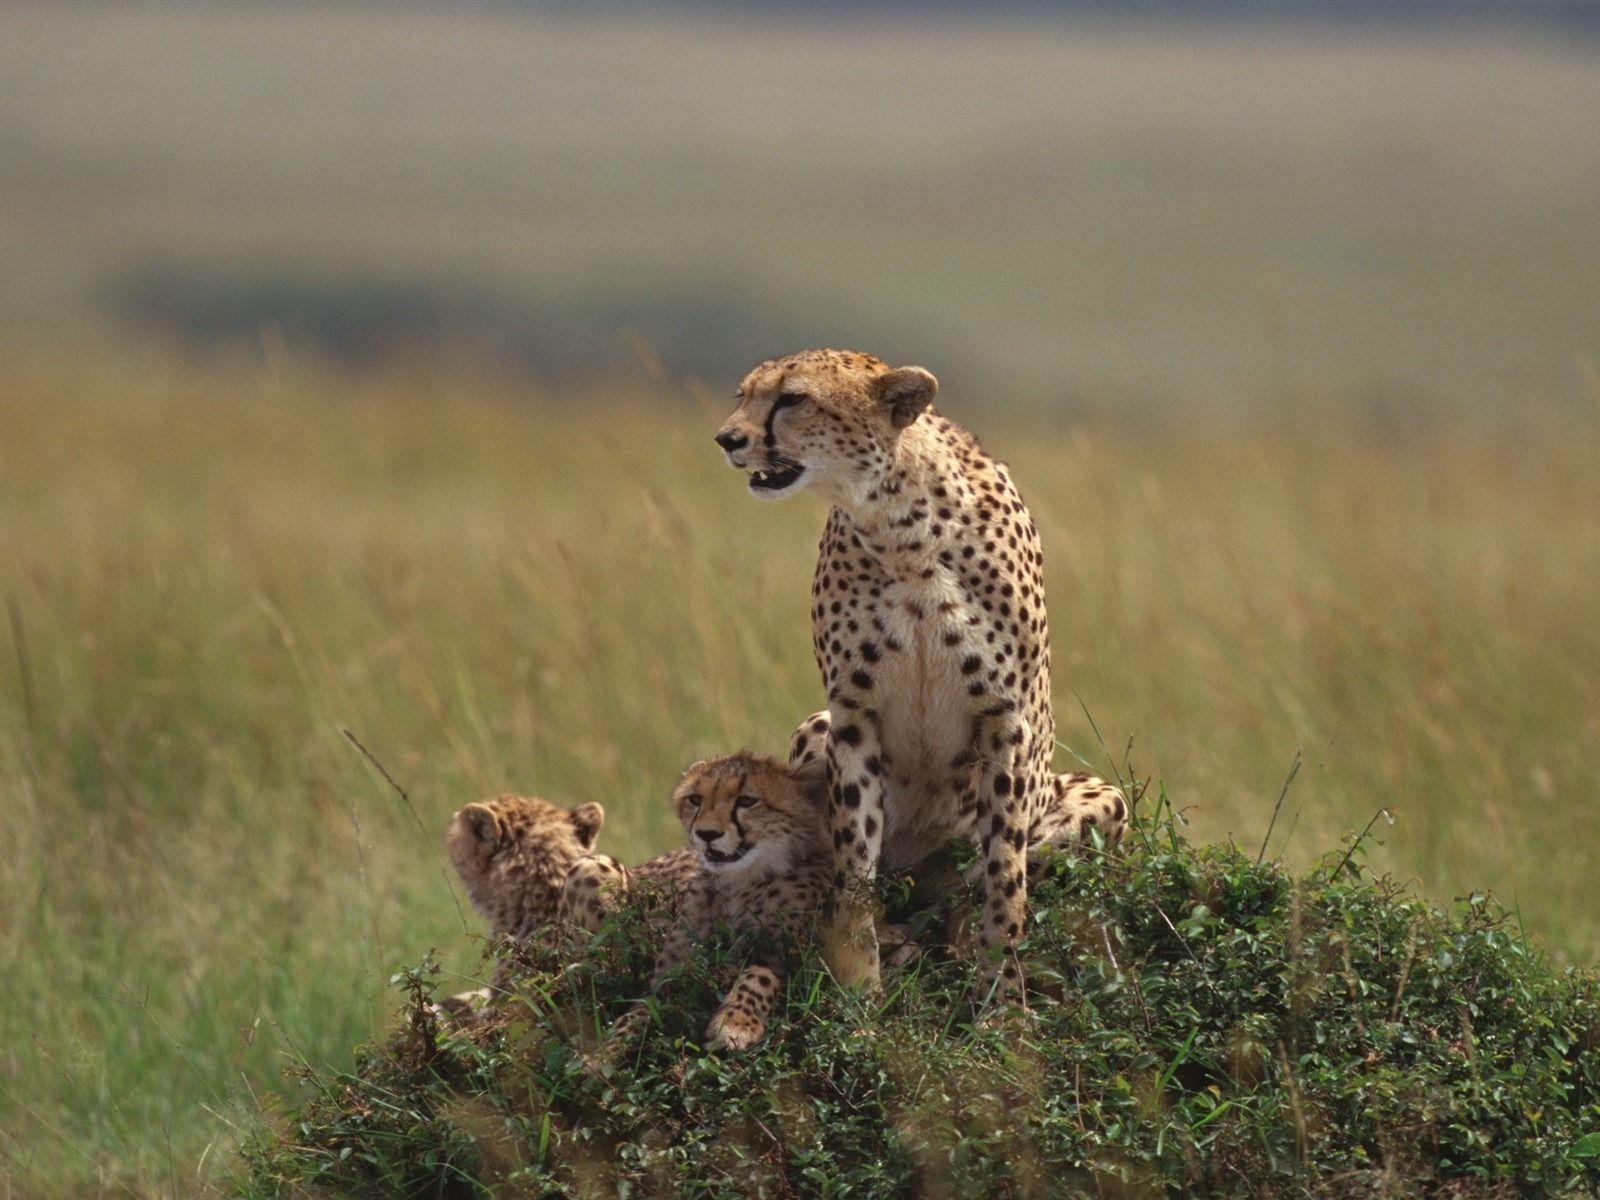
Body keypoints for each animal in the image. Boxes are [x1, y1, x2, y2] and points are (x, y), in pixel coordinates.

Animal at [715, 348, 1076, 1001]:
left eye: (793, 399)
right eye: (744, 395)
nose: (727, 439)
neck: (902, 528)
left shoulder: (1004, 719)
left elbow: (1004, 872)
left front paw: (1003, 995)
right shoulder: (852, 716)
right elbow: (854, 856)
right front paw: (859, 986)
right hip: (815, 728)